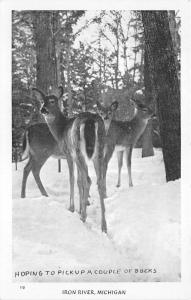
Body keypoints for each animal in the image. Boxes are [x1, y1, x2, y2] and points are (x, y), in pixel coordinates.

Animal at [32, 85, 107, 233]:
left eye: (52, 101)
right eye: (42, 101)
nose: (43, 109)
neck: (60, 131)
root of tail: (90, 120)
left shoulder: (68, 153)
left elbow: (72, 179)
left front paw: (72, 208)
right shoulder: (75, 157)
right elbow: (79, 181)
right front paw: (80, 207)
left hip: (78, 149)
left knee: (89, 180)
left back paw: (83, 218)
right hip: (99, 150)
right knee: (99, 182)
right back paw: (104, 226)